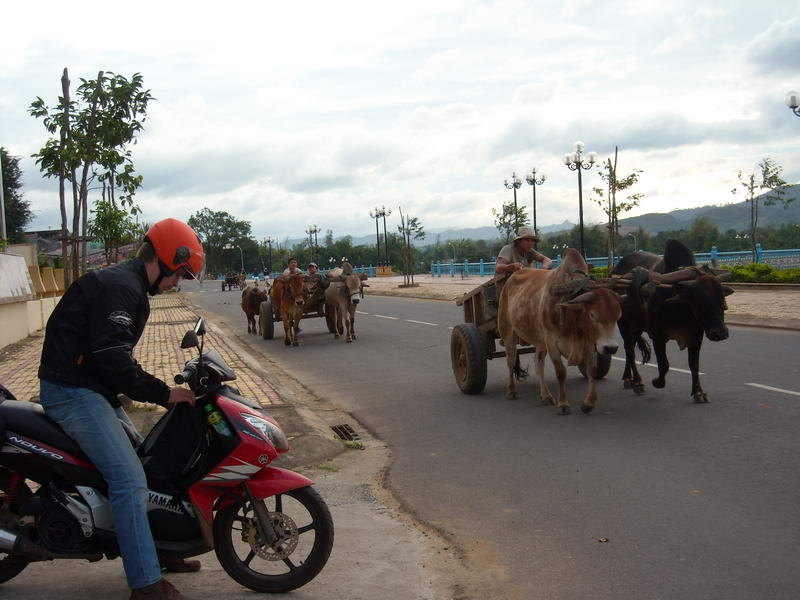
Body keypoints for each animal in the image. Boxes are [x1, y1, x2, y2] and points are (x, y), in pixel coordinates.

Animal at [496, 247, 620, 412]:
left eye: (618, 316)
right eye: (593, 315)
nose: (611, 348)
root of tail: (512, 276)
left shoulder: (588, 343)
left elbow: (592, 369)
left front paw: (589, 402)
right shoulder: (552, 343)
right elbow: (561, 372)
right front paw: (563, 404)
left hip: (540, 340)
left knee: (538, 363)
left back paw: (546, 396)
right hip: (508, 332)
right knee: (510, 361)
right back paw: (511, 391)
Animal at [612, 239, 736, 404]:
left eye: (722, 300)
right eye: (699, 302)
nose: (720, 334)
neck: (680, 307)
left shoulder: (697, 336)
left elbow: (694, 364)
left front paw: (698, 393)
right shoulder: (658, 337)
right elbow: (664, 365)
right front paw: (657, 382)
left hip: (638, 326)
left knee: (630, 348)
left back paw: (628, 379)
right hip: (623, 324)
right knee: (629, 351)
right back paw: (636, 382)